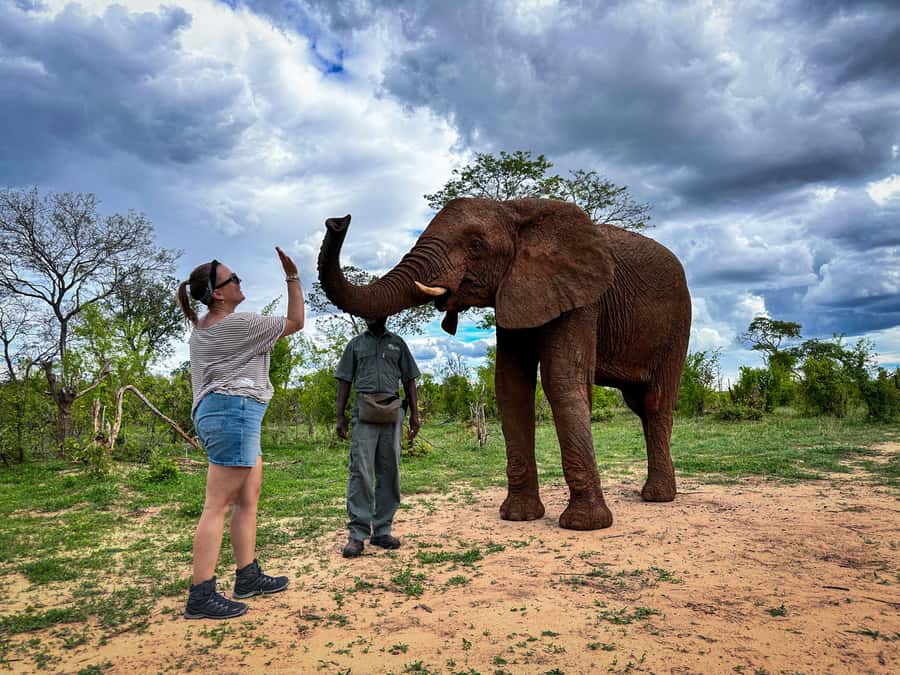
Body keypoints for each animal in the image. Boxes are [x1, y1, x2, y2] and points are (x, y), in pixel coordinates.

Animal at [317, 197, 691, 530]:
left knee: (656, 403)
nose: (338, 220)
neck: (515, 210)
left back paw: (658, 497)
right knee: (640, 405)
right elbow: (510, 386)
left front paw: (584, 525)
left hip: (678, 321)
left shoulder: (583, 299)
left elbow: (561, 381)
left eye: (476, 245)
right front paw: (518, 517)